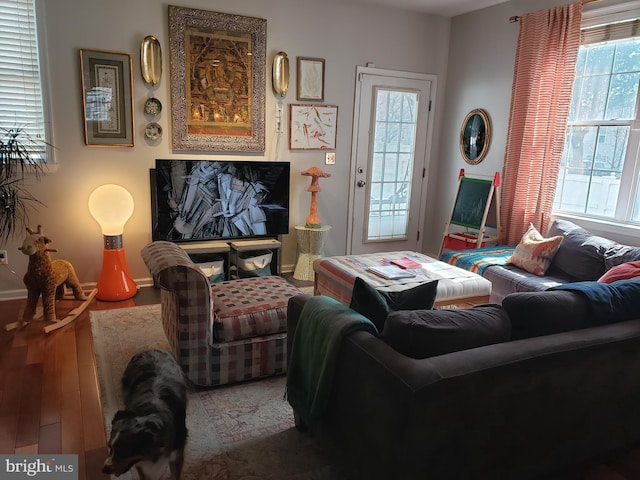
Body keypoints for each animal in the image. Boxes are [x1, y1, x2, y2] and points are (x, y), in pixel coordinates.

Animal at [102, 348, 188, 480]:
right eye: (109, 447)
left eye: (123, 452)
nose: (104, 470)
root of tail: (150, 350)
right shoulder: (140, 464)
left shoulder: (176, 454)